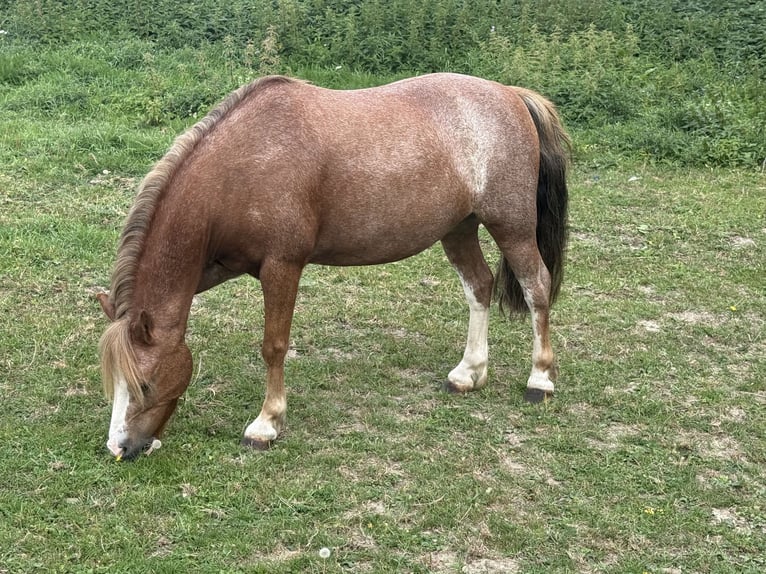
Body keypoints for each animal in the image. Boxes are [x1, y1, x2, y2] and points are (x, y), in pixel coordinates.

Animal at [97, 73, 570, 461]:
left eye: (144, 384)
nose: (119, 448)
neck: (242, 166)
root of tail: (511, 95)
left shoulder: (282, 267)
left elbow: (273, 346)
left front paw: (267, 424)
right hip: (458, 229)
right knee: (480, 286)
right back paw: (469, 373)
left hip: (512, 227)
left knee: (536, 288)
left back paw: (540, 380)